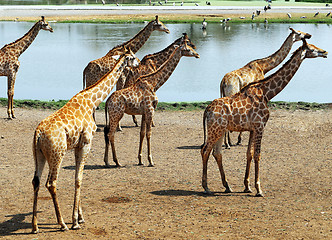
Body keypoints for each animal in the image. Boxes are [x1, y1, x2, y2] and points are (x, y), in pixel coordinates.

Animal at [31, 47, 139, 233]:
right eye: (132, 57)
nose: (139, 63)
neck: (91, 101)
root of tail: (38, 133)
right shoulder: (87, 143)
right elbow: (79, 178)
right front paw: (75, 221)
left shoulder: (77, 145)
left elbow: (77, 176)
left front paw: (80, 217)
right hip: (57, 153)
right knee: (51, 183)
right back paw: (62, 224)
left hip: (39, 154)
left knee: (36, 181)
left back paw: (35, 226)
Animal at [102, 39, 198, 167]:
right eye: (188, 49)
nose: (197, 54)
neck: (154, 83)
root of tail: (107, 101)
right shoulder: (150, 109)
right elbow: (149, 133)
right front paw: (151, 160)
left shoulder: (143, 112)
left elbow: (142, 133)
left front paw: (140, 159)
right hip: (116, 114)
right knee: (111, 134)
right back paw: (117, 162)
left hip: (112, 115)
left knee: (107, 133)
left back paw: (107, 161)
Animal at [200, 39, 326, 197]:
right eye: (311, 48)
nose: (325, 52)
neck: (267, 93)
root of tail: (207, 110)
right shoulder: (260, 126)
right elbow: (258, 155)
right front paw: (259, 189)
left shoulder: (252, 129)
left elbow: (249, 153)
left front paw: (247, 186)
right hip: (214, 130)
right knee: (205, 151)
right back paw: (206, 187)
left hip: (220, 130)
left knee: (217, 153)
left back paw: (227, 186)